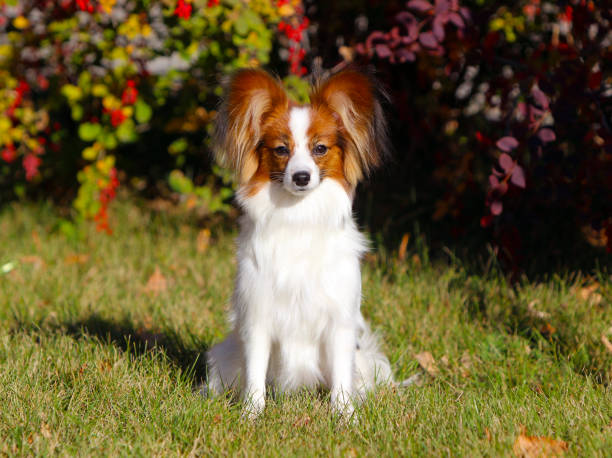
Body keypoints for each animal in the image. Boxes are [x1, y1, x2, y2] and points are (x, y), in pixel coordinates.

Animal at [207, 69, 392, 418]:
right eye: (282, 150)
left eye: (320, 148)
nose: (302, 177)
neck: (299, 216)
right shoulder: (258, 315)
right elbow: (255, 372)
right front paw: (251, 414)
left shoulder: (340, 320)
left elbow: (342, 378)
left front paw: (345, 415)